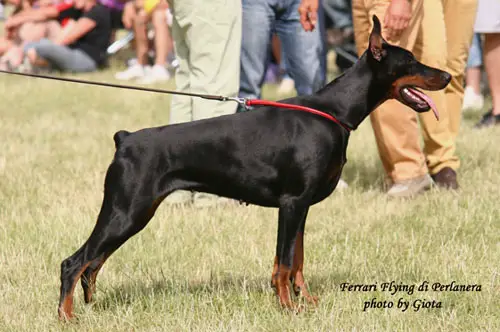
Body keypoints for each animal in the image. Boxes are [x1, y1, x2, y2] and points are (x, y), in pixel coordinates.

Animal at [56, 14, 452, 320]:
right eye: (411, 62)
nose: (447, 76)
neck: (335, 111)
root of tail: (125, 139)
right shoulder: (292, 202)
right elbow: (284, 262)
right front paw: (289, 308)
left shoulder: (301, 206)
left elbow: (297, 260)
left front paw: (306, 301)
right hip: (126, 210)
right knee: (75, 263)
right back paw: (67, 316)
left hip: (134, 213)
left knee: (93, 264)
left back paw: (89, 307)